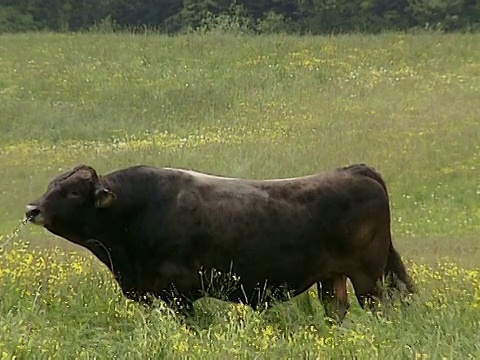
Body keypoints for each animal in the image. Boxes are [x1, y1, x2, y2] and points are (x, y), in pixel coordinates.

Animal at [26, 163, 414, 320]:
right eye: (50, 184)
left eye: (74, 191)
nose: (32, 208)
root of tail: (355, 170)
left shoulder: (179, 294)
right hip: (331, 278)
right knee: (336, 310)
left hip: (368, 278)